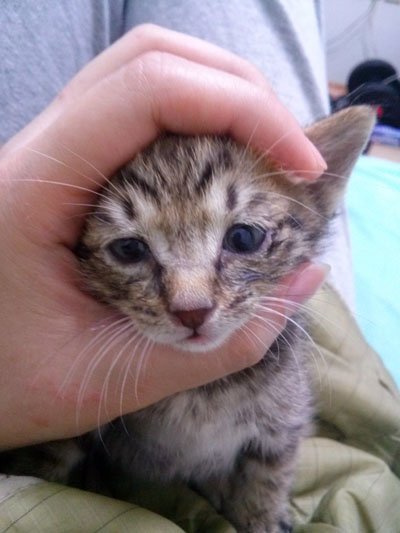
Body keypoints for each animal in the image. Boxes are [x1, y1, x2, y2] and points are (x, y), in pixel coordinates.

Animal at [0, 106, 374, 533]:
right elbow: (48, 463)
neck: (201, 394)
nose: (191, 309)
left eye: (243, 238)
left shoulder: (285, 416)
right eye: (129, 249)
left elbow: (270, 470)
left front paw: (262, 515)